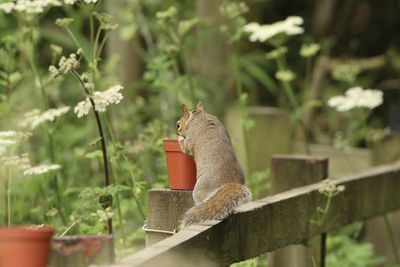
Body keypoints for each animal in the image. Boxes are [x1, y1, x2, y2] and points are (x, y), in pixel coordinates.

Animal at [175, 102, 250, 230]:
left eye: (178, 125)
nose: (178, 132)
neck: (198, 115)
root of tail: (231, 182)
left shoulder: (190, 136)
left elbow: (186, 147)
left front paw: (179, 138)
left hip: (200, 190)